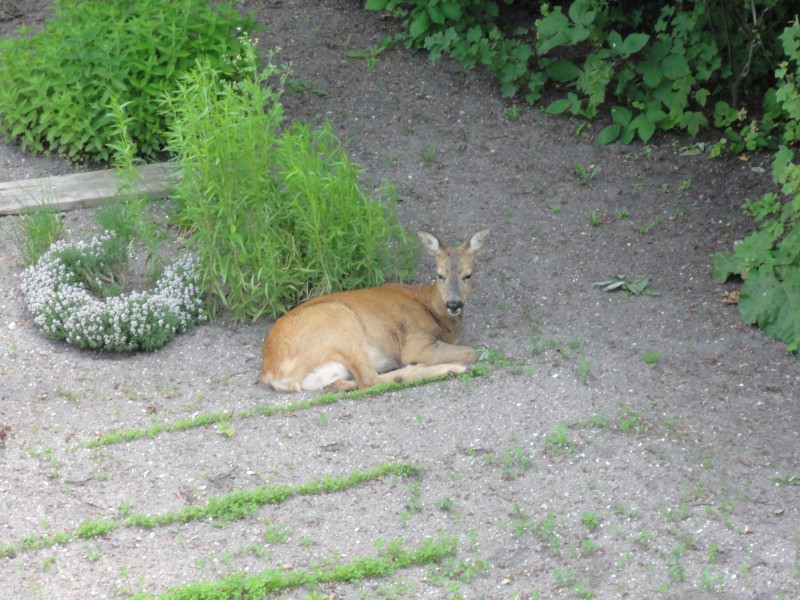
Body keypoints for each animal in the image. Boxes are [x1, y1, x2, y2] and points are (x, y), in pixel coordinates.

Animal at [260, 227, 490, 392]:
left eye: (468, 275)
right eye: (440, 274)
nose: (453, 304)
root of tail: (271, 373)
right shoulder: (415, 341)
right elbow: (470, 351)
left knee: (341, 383)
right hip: (342, 323)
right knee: (370, 380)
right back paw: (446, 369)